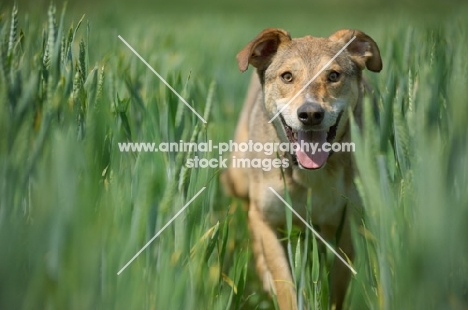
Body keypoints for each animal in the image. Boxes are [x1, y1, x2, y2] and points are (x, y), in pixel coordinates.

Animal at [221, 27, 382, 308]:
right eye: (287, 76)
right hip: (238, 177)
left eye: (333, 75)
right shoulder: (267, 217)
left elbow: (336, 286)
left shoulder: (346, 225)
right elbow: (284, 283)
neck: (309, 175)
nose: (310, 114)